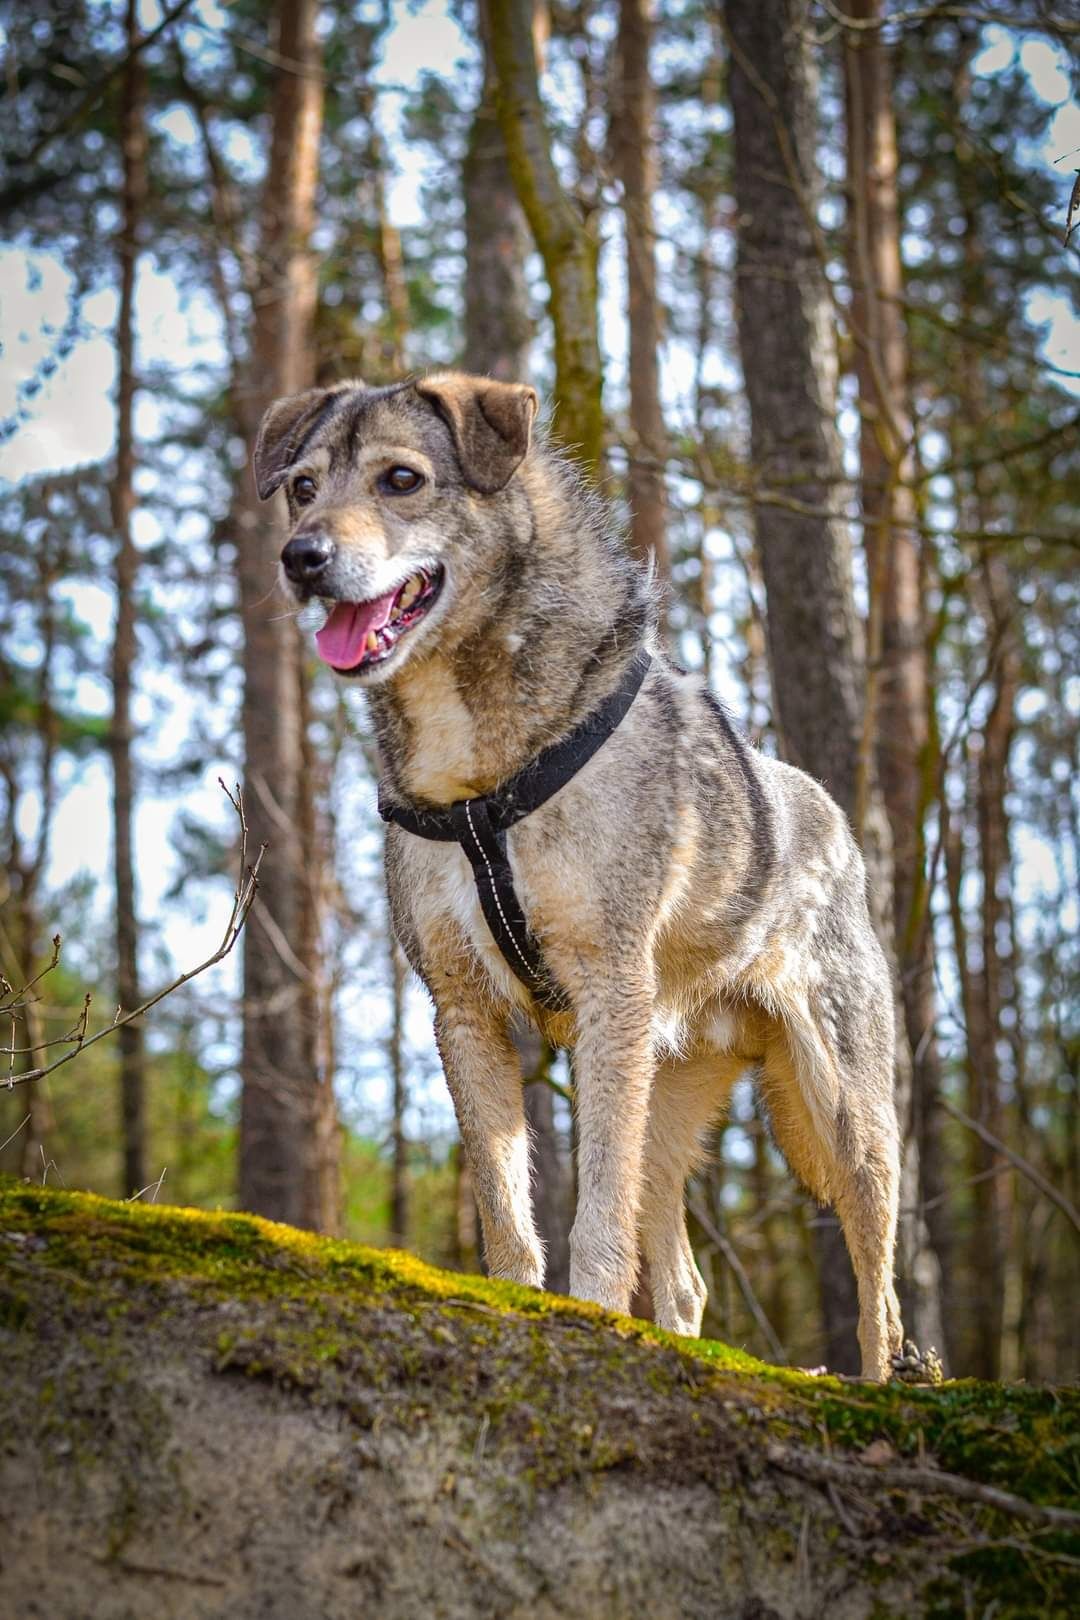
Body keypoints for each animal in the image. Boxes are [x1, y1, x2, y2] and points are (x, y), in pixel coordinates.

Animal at [255, 370, 906, 1380]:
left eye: (401, 479)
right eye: (301, 487)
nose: (303, 559)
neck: (479, 785)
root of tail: (835, 818)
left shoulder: (607, 993)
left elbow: (595, 1216)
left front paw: (592, 1313)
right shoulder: (462, 1011)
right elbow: (503, 1204)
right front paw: (518, 1301)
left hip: (842, 1109)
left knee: (882, 1287)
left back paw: (881, 1383)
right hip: (664, 1100)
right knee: (686, 1277)